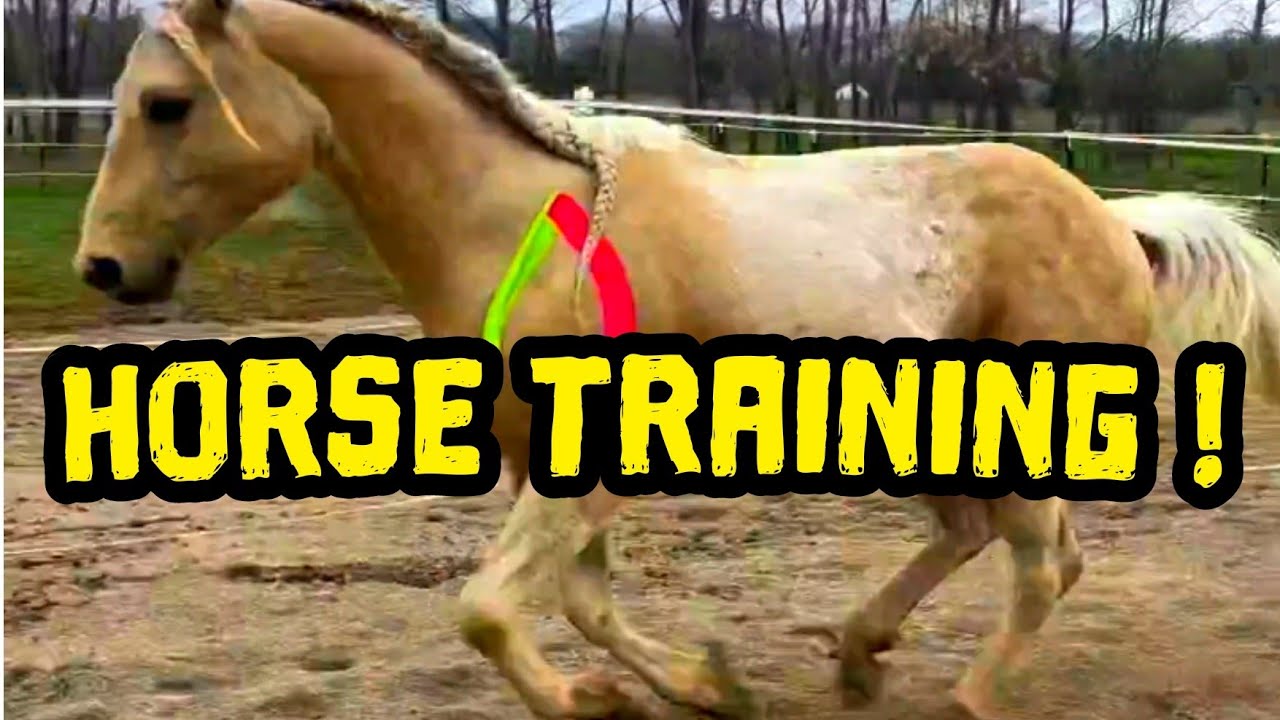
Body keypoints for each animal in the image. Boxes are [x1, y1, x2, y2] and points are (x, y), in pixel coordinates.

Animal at [72, 0, 1280, 717]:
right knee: (991, 542)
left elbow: (489, 609)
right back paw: (856, 655)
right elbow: (577, 604)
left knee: (1038, 567)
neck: (522, 225)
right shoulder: (546, 468)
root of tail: (1113, 220)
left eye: (168, 104)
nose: (104, 265)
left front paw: (600, 698)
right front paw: (704, 685)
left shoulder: (590, 470)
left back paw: (960, 699)